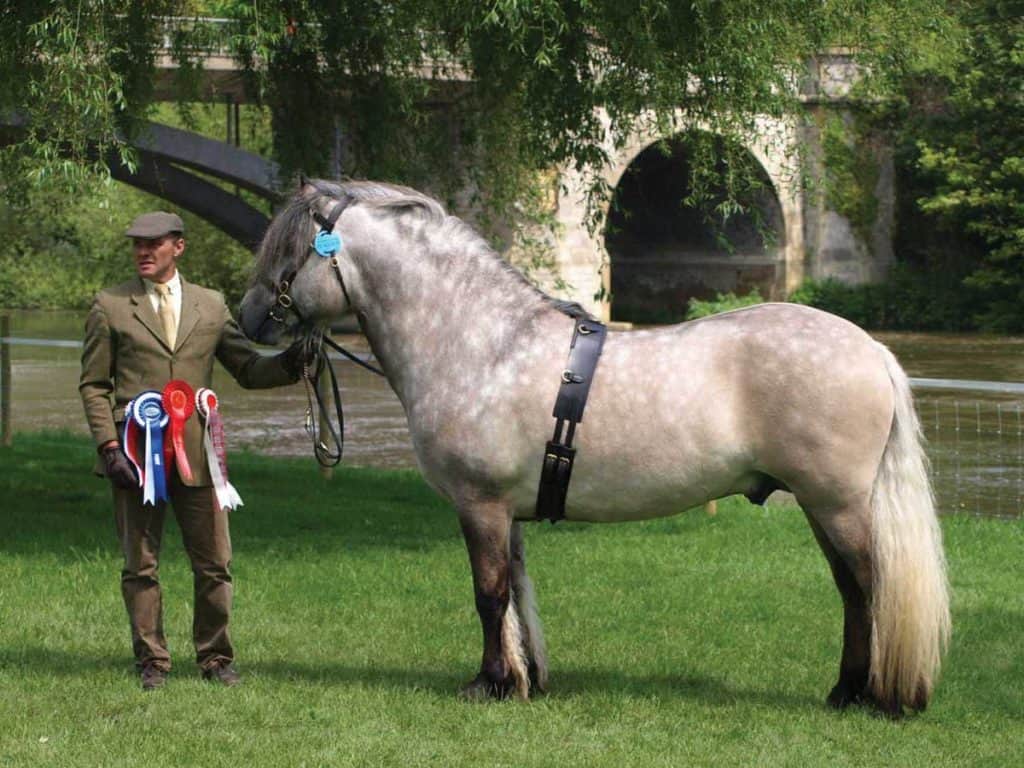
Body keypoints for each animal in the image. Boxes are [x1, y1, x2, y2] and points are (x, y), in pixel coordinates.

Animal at [239, 179, 950, 716]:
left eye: (292, 252)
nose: (247, 320)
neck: (482, 343)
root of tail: (870, 348)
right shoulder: (505, 512)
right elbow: (516, 593)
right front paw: (524, 679)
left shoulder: (479, 505)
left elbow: (488, 593)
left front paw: (489, 684)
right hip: (822, 505)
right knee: (852, 592)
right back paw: (845, 691)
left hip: (837, 504)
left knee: (872, 587)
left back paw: (876, 697)